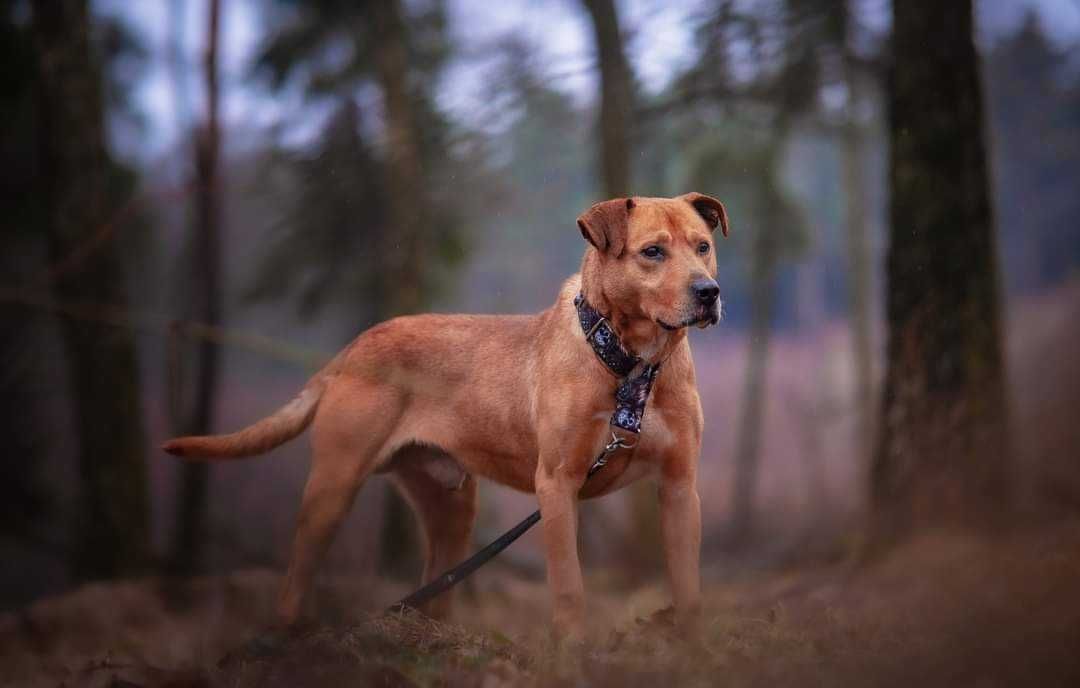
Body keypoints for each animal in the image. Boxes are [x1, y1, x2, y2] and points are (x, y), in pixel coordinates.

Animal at [164, 192, 730, 639]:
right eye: (652, 251)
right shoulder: (558, 485)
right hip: (332, 488)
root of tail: (355, 348)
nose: (709, 293)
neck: (632, 366)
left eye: (703, 246)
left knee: (436, 585)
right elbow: (569, 588)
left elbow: (689, 585)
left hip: (451, 509)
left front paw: (692, 649)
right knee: (295, 578)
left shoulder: (679, 487)